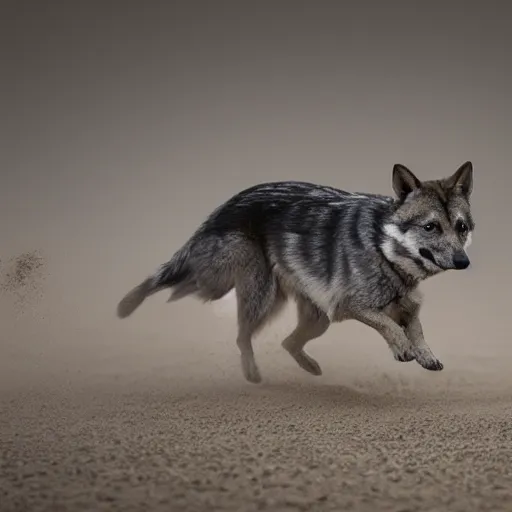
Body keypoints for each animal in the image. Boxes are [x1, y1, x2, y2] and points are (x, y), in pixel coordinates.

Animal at [116, 162, 472, 382]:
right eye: (431, 227)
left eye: (461, 227)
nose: (463, 262)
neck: (383, 246)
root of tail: (226, 204)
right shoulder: (349, 306)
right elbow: (390, 326)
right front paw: (402, 349)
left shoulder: (404, 307)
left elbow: (416, 328)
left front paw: (425, 355)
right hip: (233, 289)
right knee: (186, 293)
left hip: (316, 319)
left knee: (285, 342)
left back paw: (309, 368)